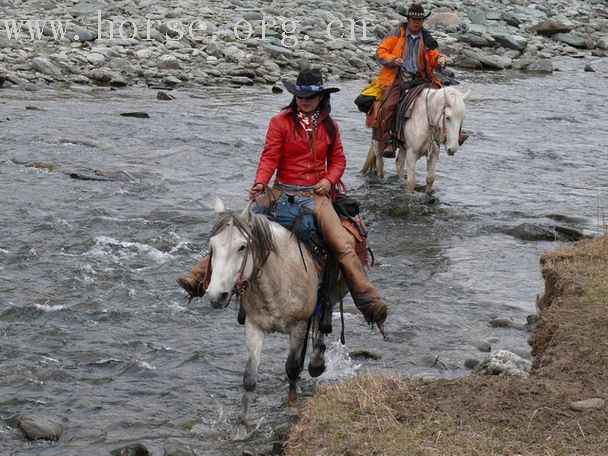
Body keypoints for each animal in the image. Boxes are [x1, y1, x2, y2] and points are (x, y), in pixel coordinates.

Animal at [204, 199, 346, 434]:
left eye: (242, 247)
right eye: (212, 246)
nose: (216, 295)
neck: (278, 279)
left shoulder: (298, 326)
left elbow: (292, 367)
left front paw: (292, 408)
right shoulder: (253, 327)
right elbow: (249, 378)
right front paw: (242, 426)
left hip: (331, 294)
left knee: (322, 319)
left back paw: (317, 362)